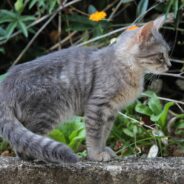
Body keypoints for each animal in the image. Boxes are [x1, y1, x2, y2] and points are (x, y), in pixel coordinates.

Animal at [0, 15, 171, 163]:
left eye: (168, 53)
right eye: (160, 56)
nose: (170, 65)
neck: (127, 66)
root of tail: (7, 83)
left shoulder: (111, 112)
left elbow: (104, 134)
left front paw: (103, 150)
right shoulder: (97, 105)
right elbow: (94, 135)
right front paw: (95, 155)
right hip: (48, 112)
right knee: (25, 145)